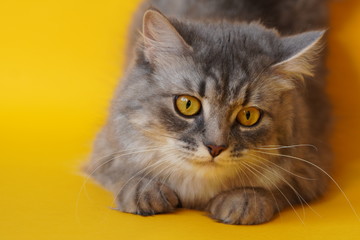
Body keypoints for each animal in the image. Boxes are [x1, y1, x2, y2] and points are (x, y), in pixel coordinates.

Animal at [85, 0, 332, 225]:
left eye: (248, 116)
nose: (215, 148)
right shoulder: (105, 151)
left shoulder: (310, 169)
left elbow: (272, 190)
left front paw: (243, 201)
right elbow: (125, 173)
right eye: (187, 105)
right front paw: (145, 191)